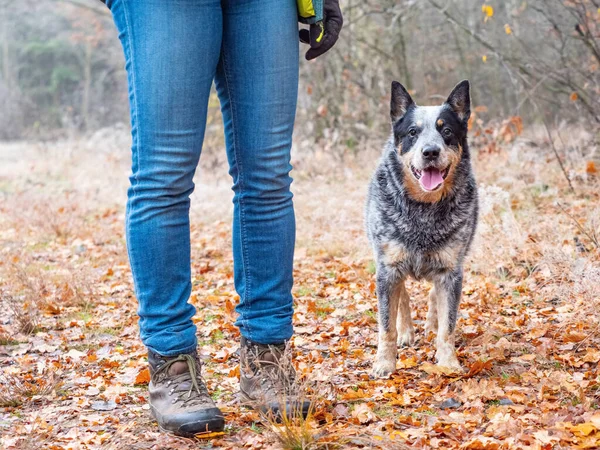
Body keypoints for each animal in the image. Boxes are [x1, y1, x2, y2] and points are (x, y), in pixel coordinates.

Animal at [366, 80, 478, 376]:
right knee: (403, 297)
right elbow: (386, 325)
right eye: (413, 132)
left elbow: (448, 325)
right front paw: (385, 362)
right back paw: (406, 332)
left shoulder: (451, 271)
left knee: (432, 296)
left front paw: (448, 362)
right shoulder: (388, 269)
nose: (430, 152)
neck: (424, 209)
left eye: (446, 130)